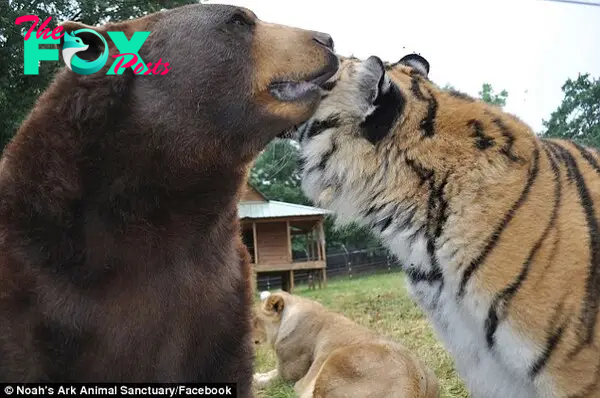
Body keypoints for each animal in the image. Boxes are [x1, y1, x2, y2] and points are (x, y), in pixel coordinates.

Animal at [251, 290, 438, 398]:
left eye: (254, 319)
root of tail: (416, 386)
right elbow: (269, 372)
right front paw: (257, 375)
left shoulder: (289, 376)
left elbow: (272, 379)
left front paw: (254, 381)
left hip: (334, 358)